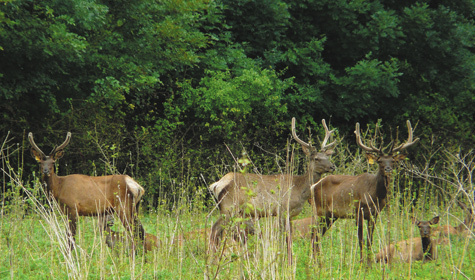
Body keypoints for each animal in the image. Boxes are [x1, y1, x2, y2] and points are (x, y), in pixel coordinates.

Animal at [209, 117, 338, 260]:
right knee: (215, 229)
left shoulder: (290, 215)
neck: (299, 190)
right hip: (229, 207)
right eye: (316, 158)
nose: (332, 166)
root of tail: (216, 185)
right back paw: (212, 259)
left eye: (328, 156)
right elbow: (284, 237)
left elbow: (289, 237)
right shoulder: (282, 209)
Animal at [310, 121, 418, 262]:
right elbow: (361, 240)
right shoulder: (358, 211)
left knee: (317, 236)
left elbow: (369, 240)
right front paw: (361, 263)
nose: (388, 169)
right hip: (319, 210)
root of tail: (313, 186)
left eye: (393, 161)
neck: (374, 195)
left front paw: (369, 262)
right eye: (380, 161)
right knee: (314, 235)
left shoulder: (375, 214)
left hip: (331, 215)